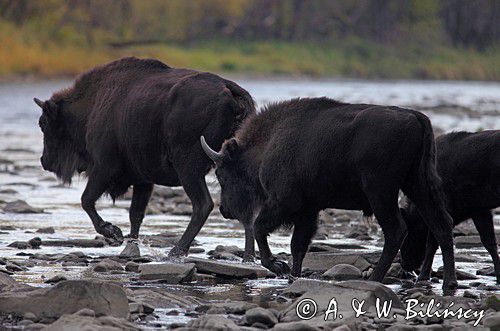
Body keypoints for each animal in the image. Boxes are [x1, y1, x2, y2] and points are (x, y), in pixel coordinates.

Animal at [34, 56, 254, 256]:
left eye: (44, 123)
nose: (44, 161)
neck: (93, 104)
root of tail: (229, 89)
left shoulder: (103, 168)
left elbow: (86, 200)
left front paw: (113, 232)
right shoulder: (143, 180)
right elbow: (135, 214)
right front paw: (130, 242)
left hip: (188, 169)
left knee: (203, 205)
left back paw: (177, 249)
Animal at [202, 97, 458, 292]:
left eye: (222, 174)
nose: (224, 210)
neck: (268, 143)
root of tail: (417, 118)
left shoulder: (284, 203)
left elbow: (260, 229)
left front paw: (278, 266)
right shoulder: (307, 211)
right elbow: (298, 245)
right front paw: (292, 275)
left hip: (381, 192)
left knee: (396, 230)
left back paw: (374, 278)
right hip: (418, 185)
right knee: (442, 224)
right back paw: (449, 283)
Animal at [400, 131, 500, 284]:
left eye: (409, 229)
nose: (404, 263)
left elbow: (432, 244)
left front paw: (423, 276)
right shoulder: (479, 210)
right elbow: (490, 243)